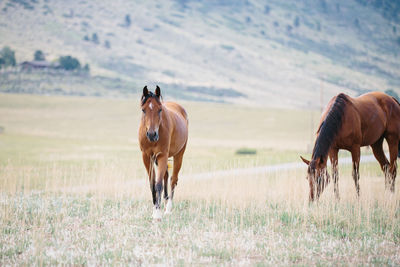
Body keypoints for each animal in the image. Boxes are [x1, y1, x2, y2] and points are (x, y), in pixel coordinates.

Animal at [138, 86, 188, 220]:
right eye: (143, 110)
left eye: (160, 110)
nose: (152, 134)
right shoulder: (146, 157)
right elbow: (152, 183)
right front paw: (155, 208)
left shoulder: (162, 155)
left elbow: (158, 184)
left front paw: (157, 213)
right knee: (166, 175)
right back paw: (164, 201)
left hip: (179, 155)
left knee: (173, 179)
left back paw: (168, 208)